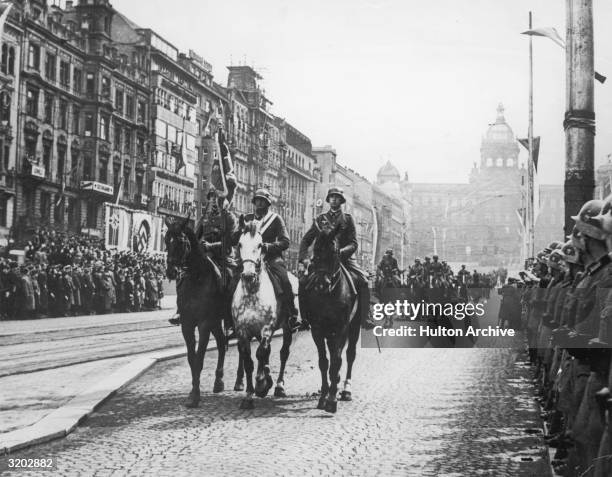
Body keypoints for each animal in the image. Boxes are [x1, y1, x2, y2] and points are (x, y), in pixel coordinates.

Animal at [164, 216, 226, 406]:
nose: (171, 271)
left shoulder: (204, 324)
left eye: (182, 242)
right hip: (216, 322)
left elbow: (199, 358)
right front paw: (193, 391)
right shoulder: (187, 324)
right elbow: (192, 359)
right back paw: (218, 381)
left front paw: (195, 396)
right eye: (166, 240)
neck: (196, 278)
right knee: (222, 343)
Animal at [231, 218, 296, 408]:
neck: (253, 292)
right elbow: (249, 361)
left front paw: (261, 383)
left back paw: (279, 386)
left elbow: (260, 353)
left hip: (287, 328)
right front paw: (248, 396)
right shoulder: (242, 331)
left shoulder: (266, 329)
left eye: (260, 245)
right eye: (239, 243)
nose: (247, 275)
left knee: (283, 353)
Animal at [298, 221, 360, 410]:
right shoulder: (317, 330)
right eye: (316, 251)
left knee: (349, 355)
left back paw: (346, 390)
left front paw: (332, 399)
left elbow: (336, 361)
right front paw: (324, 396)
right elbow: (324, 362)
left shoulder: (341, 328)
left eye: (334, 251)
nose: (321, 283)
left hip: (354, 327)